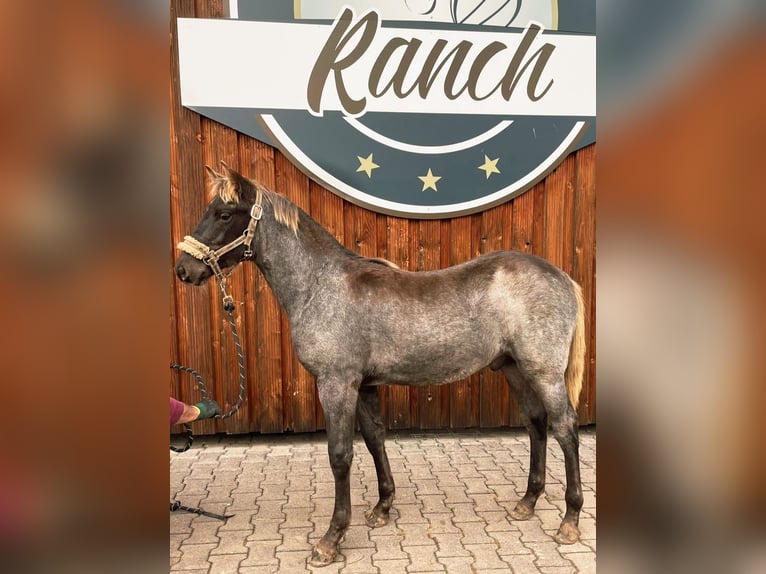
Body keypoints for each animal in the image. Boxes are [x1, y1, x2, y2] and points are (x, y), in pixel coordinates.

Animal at [174, 162, 586, 567]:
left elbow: (340, 455)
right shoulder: (365, 385)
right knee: (536, 423)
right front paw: (382, 507)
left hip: (544, 373)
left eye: (223, 214)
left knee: (565, 428)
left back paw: (570, 520)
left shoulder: (336, 384)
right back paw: (527, 502)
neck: (320, 286)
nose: (183, 269)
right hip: (514, 368)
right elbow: (375, 441)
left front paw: (331, 539)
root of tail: (562, 277)